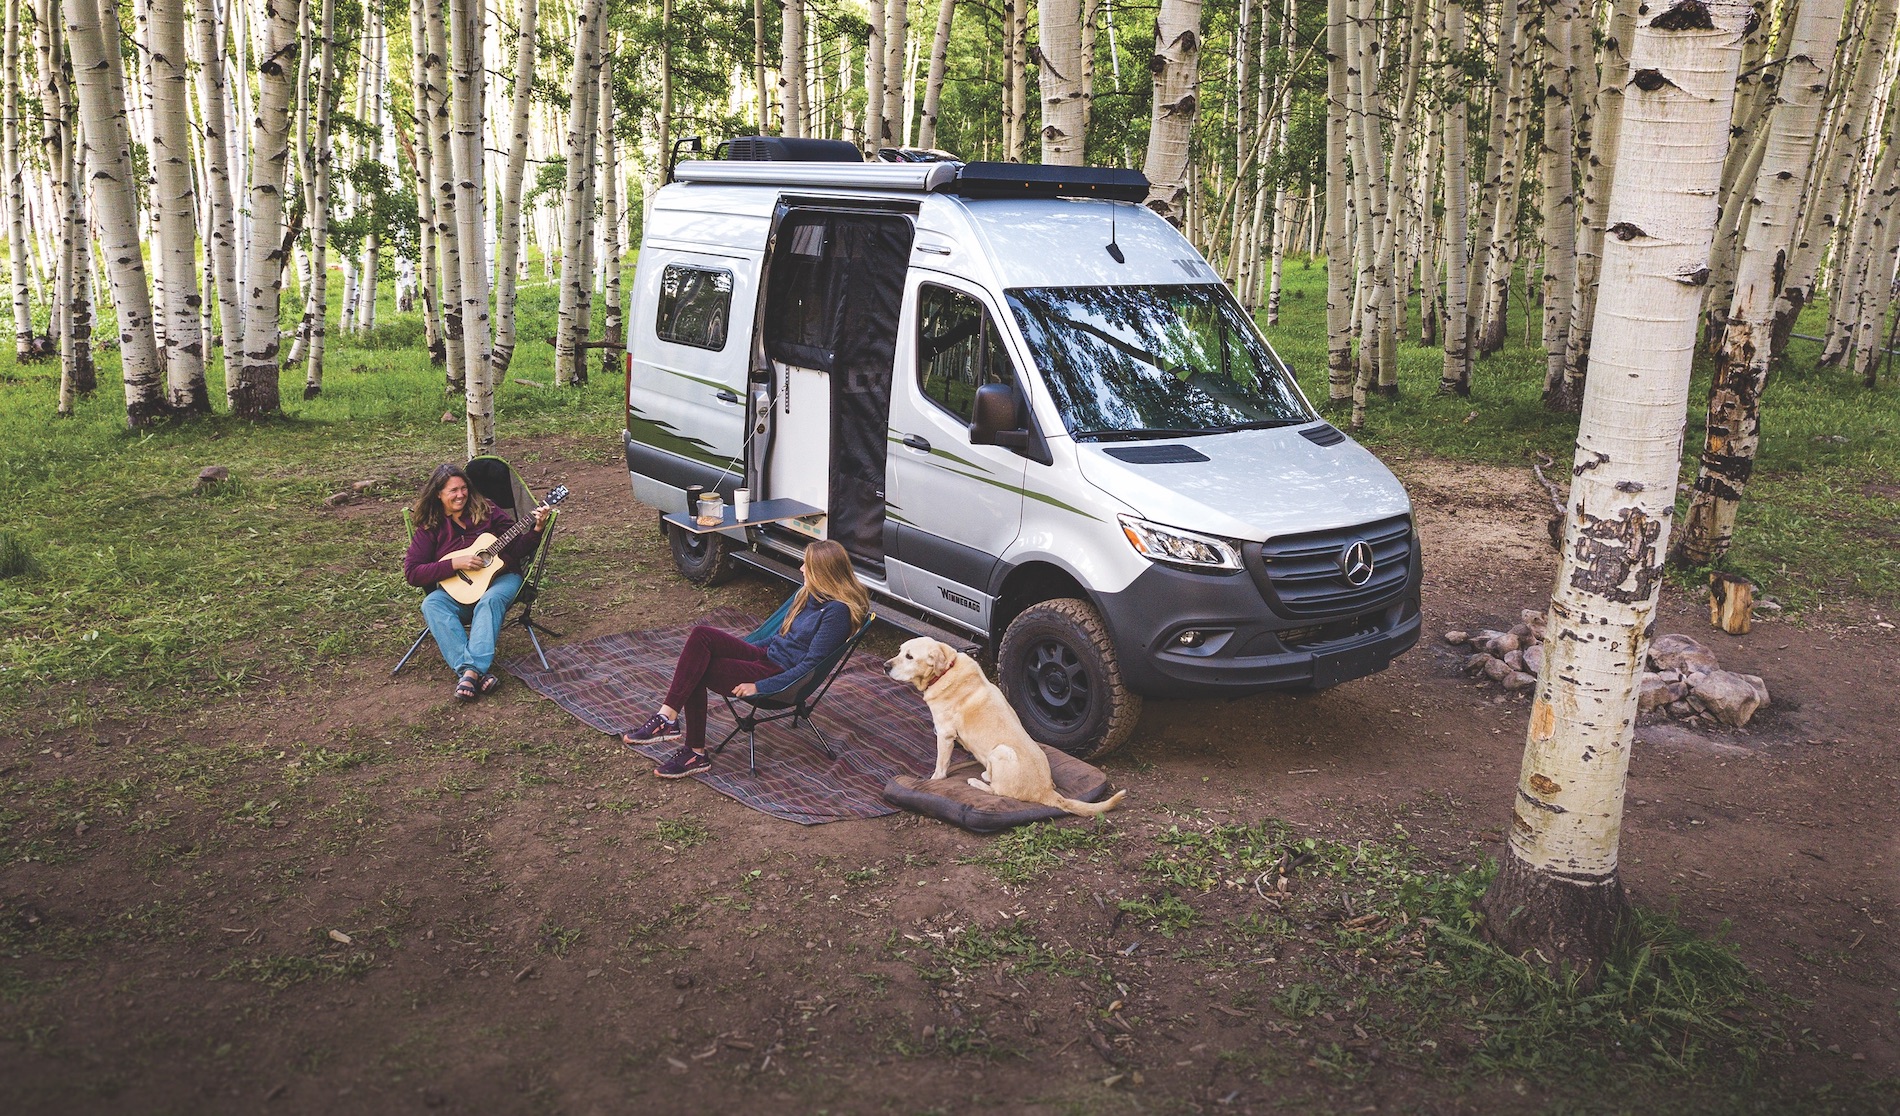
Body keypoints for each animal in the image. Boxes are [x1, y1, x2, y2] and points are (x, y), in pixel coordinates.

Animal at [889, 638, 1124, 821]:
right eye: (900, 651)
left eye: (909, 657)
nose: (885, 666)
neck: (947, 669)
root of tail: (1045, 792)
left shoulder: (945, 734)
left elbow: (940, 766)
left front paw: (933, 780)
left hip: (1001, 750)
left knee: (998, 791)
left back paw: (978, 779)